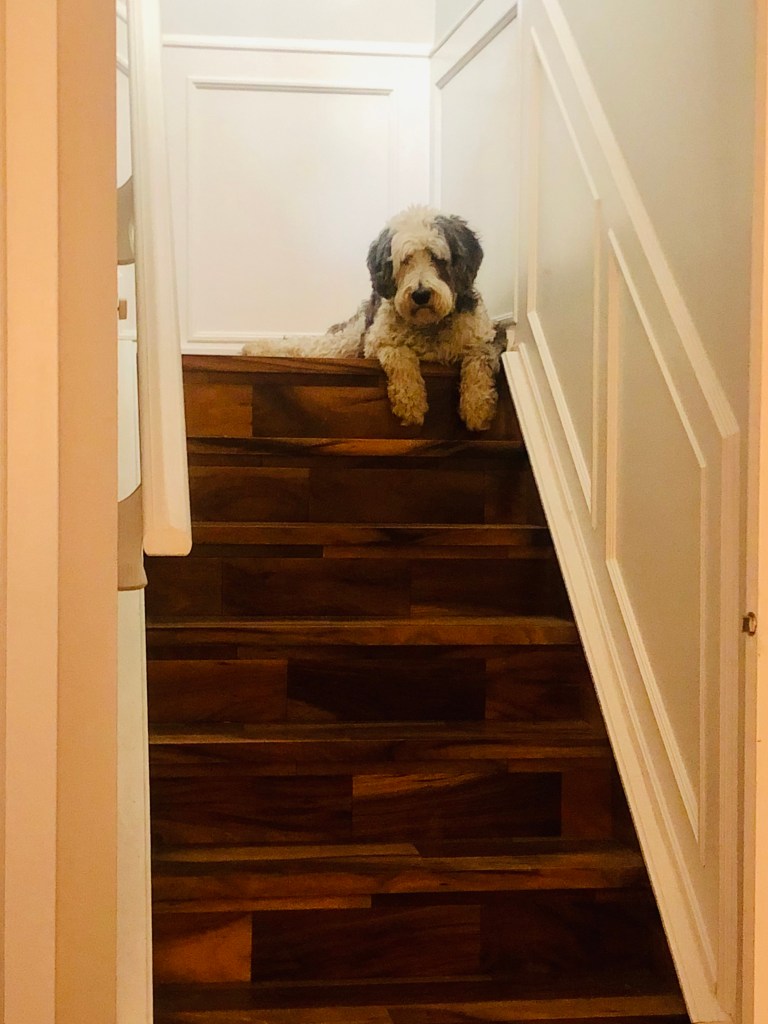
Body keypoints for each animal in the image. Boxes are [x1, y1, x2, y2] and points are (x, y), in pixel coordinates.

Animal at [242, 206, 502, 431]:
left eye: (436, 257)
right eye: (405, 259)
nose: (420, 295)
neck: (428, 326)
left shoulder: (487, 339)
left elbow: (478, 362)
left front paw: (477, 409)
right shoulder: (376, 342)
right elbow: (400, 354)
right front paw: (411, 403)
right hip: (346, 342)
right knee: (305, 347)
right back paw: (256, 347)